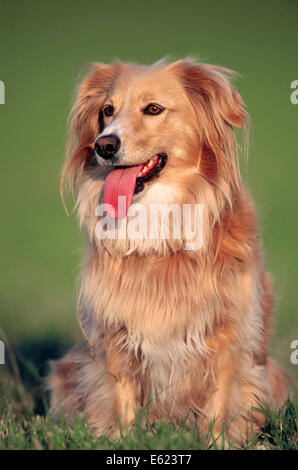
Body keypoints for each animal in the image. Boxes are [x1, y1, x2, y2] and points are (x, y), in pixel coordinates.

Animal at [48, 59, 288, 448]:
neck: (161, 215)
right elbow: (121, 397)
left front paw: (218, 441)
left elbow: (220, 400)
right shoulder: (115, 330)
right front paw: (124, 442)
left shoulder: (229, 333)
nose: (104, 144)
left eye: (153, 109)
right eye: (107, 111)